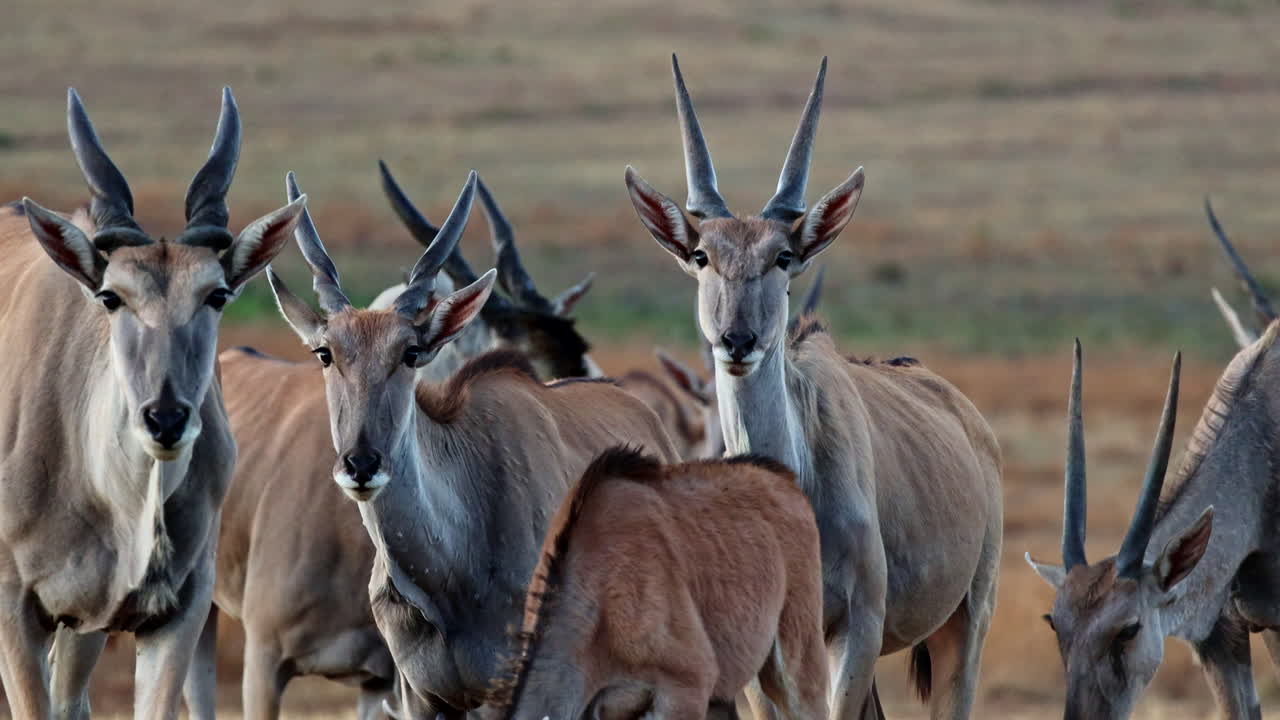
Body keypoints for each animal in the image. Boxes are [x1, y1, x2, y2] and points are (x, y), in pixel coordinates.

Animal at [0, 88, 303, 720]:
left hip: (84, 632)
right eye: (111, 297)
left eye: (217, 295)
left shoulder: (175, 613)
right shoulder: (13, 607)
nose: (166, 419)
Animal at [267, 171, 681, 718]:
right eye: (324, 352)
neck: (447, 576)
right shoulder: (422, 696)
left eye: (411, 352)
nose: (361, 465)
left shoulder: (512, 693)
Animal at [623, 56, 1003, 720]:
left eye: (783, 257)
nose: (737, 340)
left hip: (965, 619)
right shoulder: (761, 654)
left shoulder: (856, 627)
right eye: (700, 255)